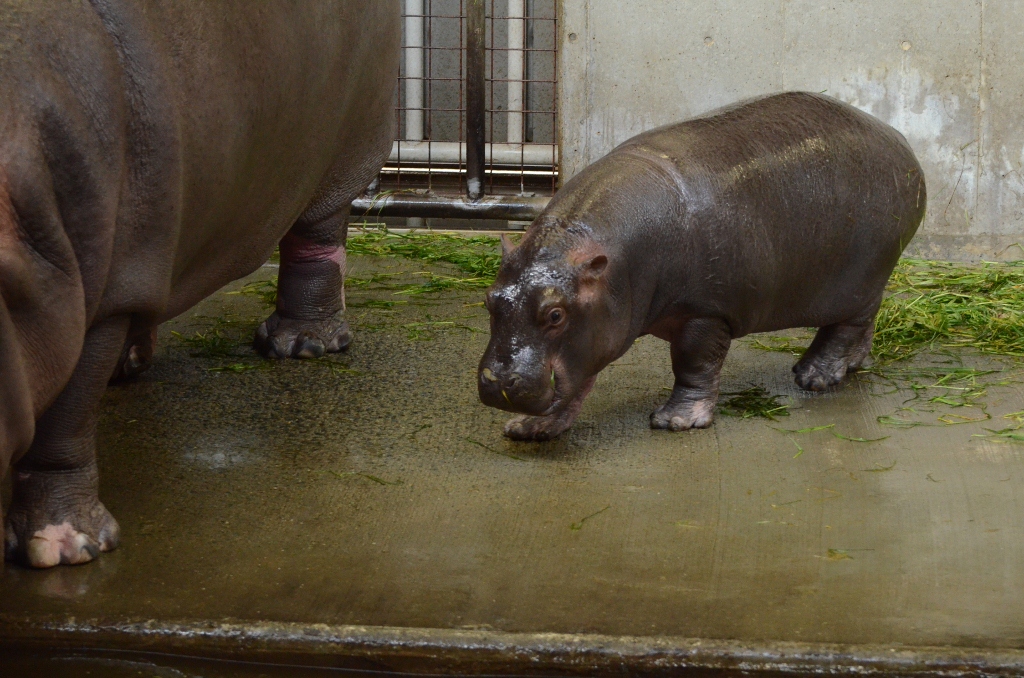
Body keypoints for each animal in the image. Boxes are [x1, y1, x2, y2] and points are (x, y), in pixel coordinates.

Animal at [0, 0, 399, 569]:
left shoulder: (105, 300)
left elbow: (65, 421)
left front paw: (63, 547)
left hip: (343, 151)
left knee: (317, 238)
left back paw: (300, 345)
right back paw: (129, 366)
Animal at [479, 91, 929, 440]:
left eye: (555, 314)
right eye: (489, 300)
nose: (499, 381)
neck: (611, 258)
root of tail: (900, 140)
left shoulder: (706, 312)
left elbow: (693, 364)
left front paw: (676, 422)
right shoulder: (594, 331)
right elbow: (575, 382)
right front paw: (530, 429)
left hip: (860, 276)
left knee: (845, 327)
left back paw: (814, 377)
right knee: (865, 322)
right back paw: (852, 366)